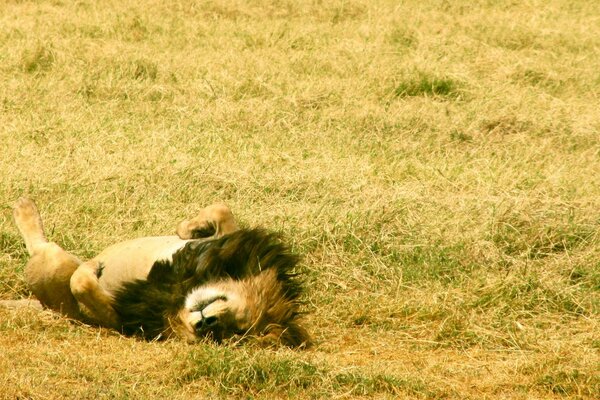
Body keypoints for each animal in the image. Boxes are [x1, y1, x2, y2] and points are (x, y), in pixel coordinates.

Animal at [5, 198, 310, 348]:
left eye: (235, 331)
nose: (207, 324)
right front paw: (190, 228)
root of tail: (42, 305)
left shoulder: (124, 318)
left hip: (55, 270)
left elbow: (82, 286)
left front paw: (94, 273)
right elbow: (222, 210)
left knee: (46, 252)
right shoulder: (229, 246)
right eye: (240, 322)